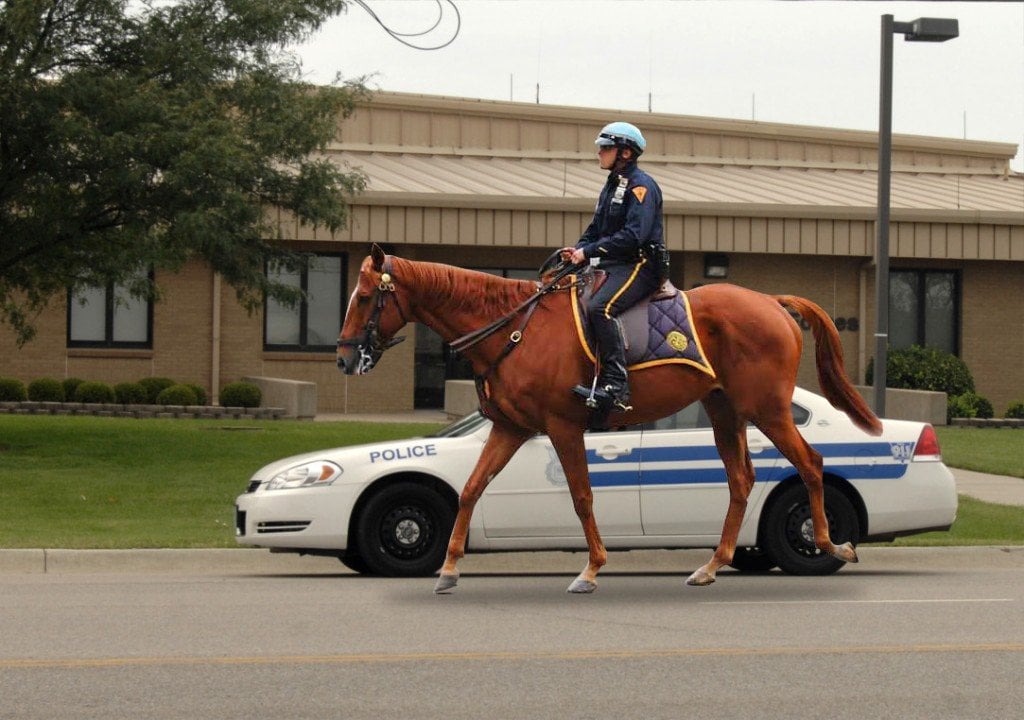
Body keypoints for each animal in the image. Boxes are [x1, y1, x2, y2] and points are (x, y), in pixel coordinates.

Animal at [337, 244, 882, 593]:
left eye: (363, 297)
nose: (343, 359)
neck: (516, 328)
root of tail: (771, 301)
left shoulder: (562, 427)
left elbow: (581, 497)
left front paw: (592, 569)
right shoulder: (511, 428)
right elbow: (470, 489)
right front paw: (449, 568)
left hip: (766, 409)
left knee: (810, 464)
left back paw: (831, 546)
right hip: (725, 410)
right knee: (742, 480)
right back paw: (712, 565)